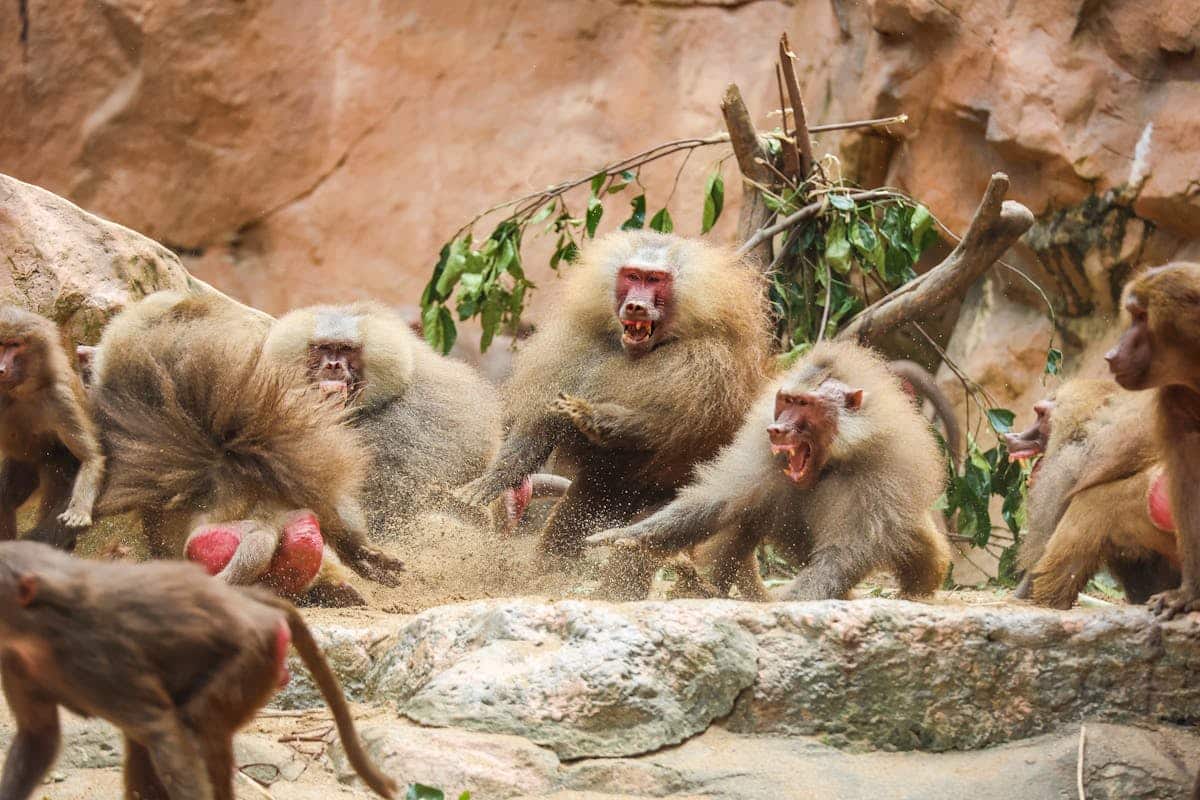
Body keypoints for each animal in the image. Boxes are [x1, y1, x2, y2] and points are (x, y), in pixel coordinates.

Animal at [0, 306, 105, 552]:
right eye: (0, 344)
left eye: (14, 345)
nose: (0, 369)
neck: (20, 393)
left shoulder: (60, 399)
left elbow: (91, 457)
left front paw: (78, 511)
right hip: (23, 466)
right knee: (5, 499)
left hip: (56, 463)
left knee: (55, 475)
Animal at [0, 540, 397, 800]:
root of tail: (247, 604)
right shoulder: (14, 659)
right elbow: (39, 738)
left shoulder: (98, 655)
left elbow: (165, 732)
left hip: (255, 655)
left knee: (197, 727)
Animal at [453, 230, 772, 598]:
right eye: (633, 276)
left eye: (655, 280)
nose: (635, 305)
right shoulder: (580, 348)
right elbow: (541, 426)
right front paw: (492, 481)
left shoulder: (708, 369)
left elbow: (669, 428)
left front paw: (595, 419)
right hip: (602, 488)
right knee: (571, 522)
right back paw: (544, 580)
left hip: (677, 497)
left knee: (642, 541)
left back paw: (614, 592)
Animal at [588, 340, 951, 602]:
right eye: (786, 400)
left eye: (805, 405)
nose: (777, 429)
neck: (831, 462)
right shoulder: (763, 453)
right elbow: (718, 501)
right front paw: (627, 536)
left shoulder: (881, 475)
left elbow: (843, 554)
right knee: (747, 515)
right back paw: (702, 587)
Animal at [1106, 261, 1200, 619]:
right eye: (1132, 314)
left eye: (1142, 316)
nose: (1111, 355)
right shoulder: (1177, 400)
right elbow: (1190, 481)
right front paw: (1189, 594)